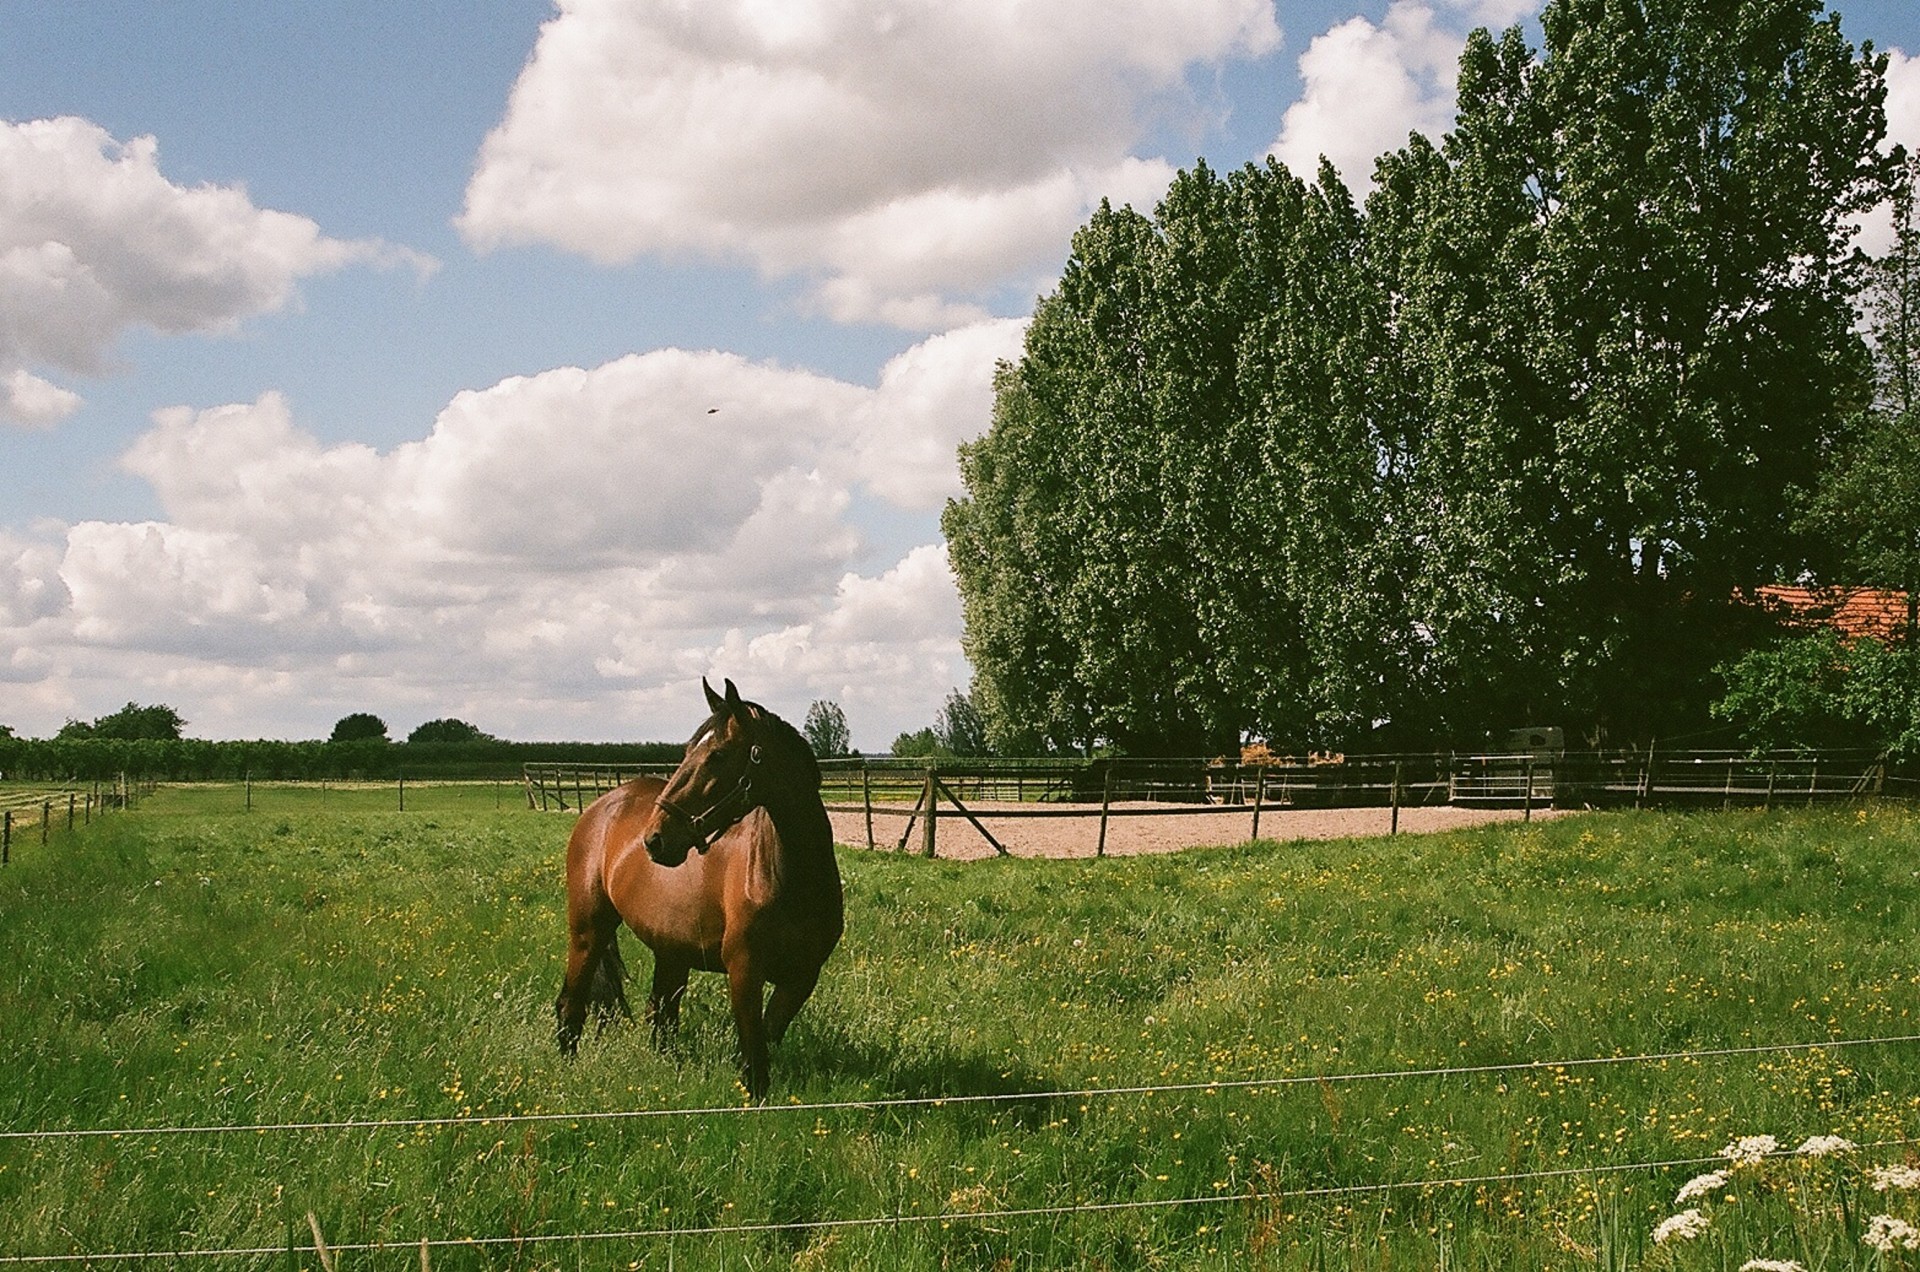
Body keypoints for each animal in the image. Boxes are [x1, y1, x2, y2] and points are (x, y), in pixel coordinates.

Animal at [552, 684, 844, 1099]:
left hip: (670, 951)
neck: (792, 878)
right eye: (688, 750)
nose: (655, 839)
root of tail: (601, 806)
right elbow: (754, 1054)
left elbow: (766, 1041)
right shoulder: (744, 970)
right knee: (571, 1004)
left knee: (660, 1016)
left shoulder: (801, 977)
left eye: (717, 755)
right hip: (588, 931)